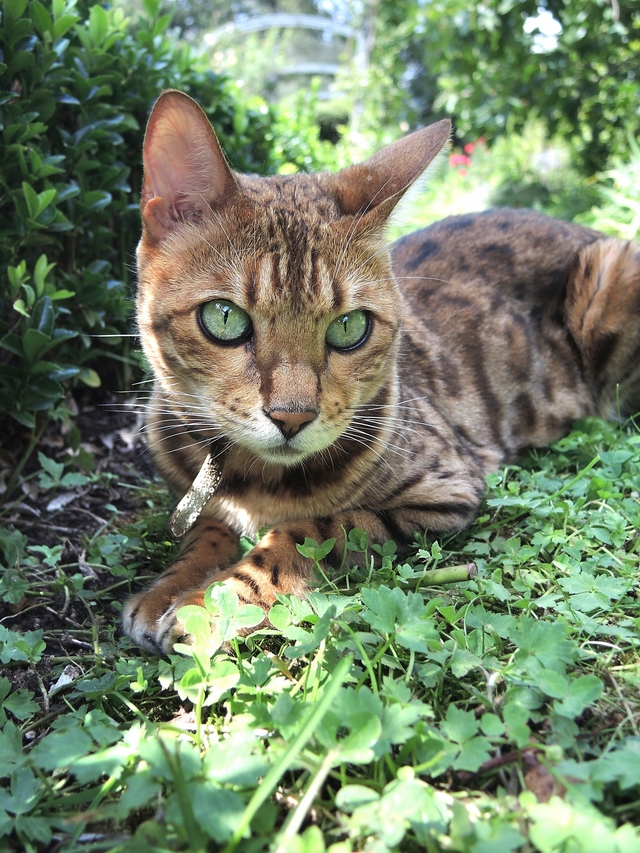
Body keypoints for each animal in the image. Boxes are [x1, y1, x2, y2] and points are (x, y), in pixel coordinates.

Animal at [124, 88, 640, 652]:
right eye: (224, 318)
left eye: (349, 327)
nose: (291, 417)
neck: (255, 483)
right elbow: (204, 529)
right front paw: (169, 587)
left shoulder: (446, 491)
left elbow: (307, 532)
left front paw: (207, 605)